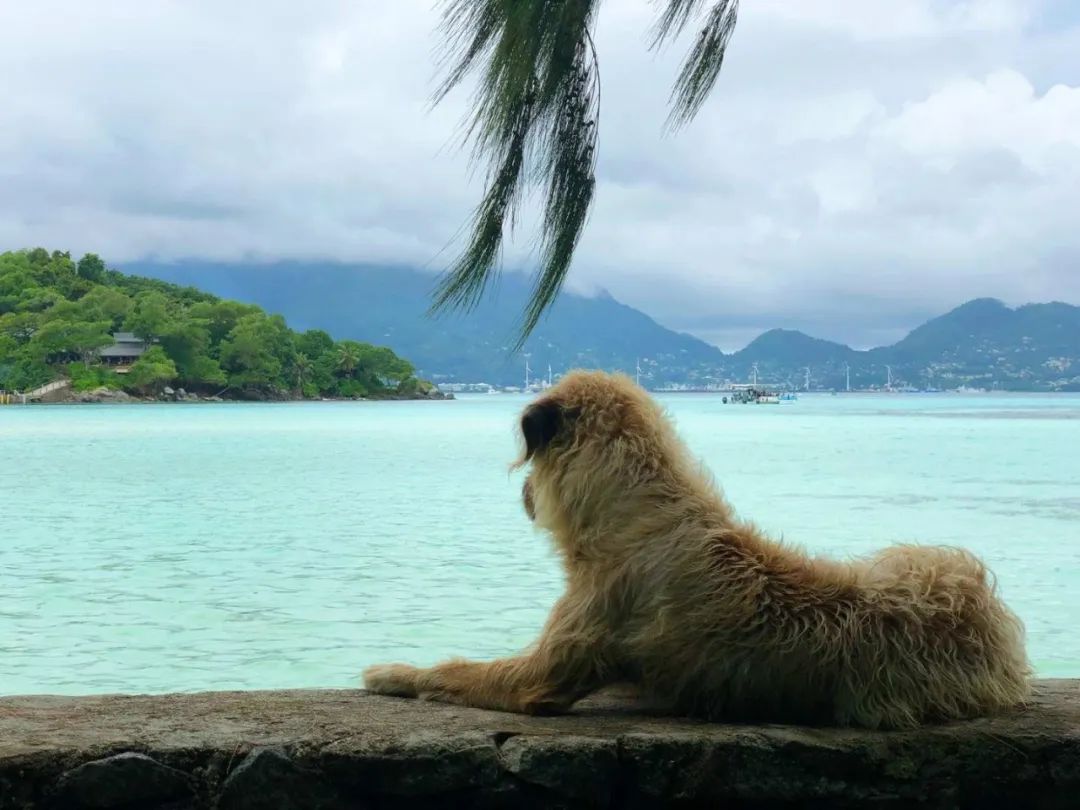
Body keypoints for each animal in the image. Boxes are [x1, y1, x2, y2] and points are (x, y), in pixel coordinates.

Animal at [367, 371, 1032, 725]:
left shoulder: (548, 667)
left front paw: (397, 672)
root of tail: (996, 632)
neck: (640, 515)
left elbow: (463, 673)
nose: (525, 493)